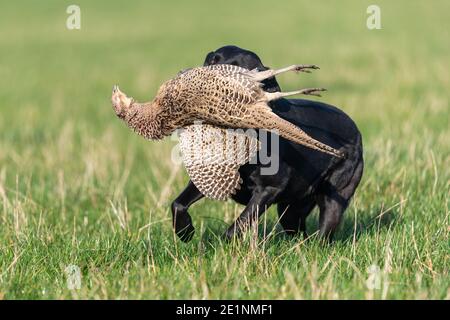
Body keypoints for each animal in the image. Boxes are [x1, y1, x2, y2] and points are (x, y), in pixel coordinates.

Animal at [171, 45, 364, 242]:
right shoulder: (213, 174)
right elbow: (177, 204)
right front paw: (185, 231)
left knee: (323, 234)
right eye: (211, 61)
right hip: (290, 210)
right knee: (300, 235)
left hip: (333, 197)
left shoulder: (269, 189)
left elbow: (239, 224)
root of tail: (356, 130)